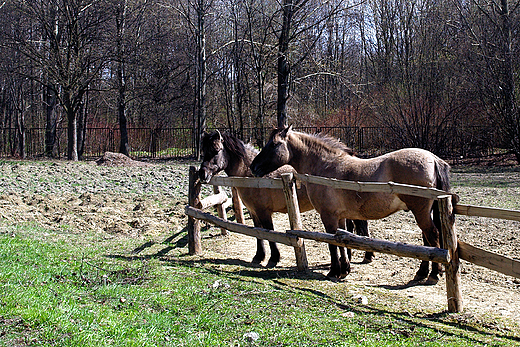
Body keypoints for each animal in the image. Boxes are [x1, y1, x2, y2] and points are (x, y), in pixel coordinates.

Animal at [199, 130, 374, 270]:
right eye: (203, 151)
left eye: (216, 150)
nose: (202, 174)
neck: (250, 177)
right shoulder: (254, 212)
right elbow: (258, 234)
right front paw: (259, 257)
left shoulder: (264, 212)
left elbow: (269, 233)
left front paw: (273, 259)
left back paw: (365, 256)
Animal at [250, 126, 458, 284]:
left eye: (274, 145)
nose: (253, 167)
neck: (325, 167)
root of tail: (433, 159)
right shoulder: (340, 217)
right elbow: (341, 242)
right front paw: (344, 270)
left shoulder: (328, 216)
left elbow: (332, 243)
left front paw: (334, 271)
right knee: (427, 240)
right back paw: (422, 273)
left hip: (420, 211)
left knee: (432, 236)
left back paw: (433, 274)